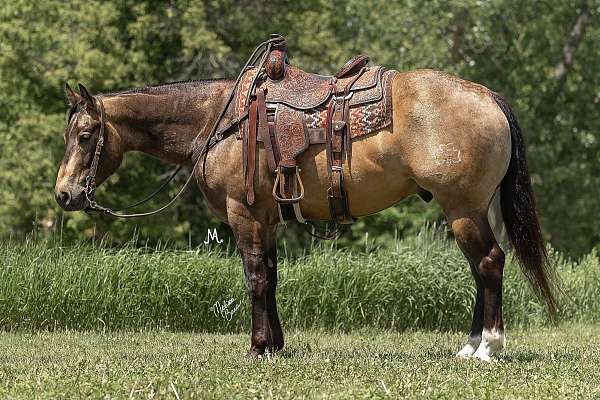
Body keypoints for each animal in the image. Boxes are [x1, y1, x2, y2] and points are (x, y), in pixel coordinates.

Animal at [54, 36, 556, 360]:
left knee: (489, 263)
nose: (64, 194)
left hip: (463, 209)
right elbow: (272, 277)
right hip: (474, 209)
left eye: (85, 135)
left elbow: (255, 279)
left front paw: (258, 348)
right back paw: (469, 345)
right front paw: (275, 344)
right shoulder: (266, 218)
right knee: (480, 270)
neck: (219, 122)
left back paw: (488, 347)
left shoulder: (244, 215)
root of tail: (487, 96)